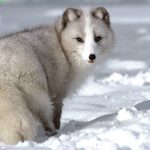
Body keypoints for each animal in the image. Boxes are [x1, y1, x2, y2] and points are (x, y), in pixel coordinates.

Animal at [0, 7, 113, 144]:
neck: (61, 44)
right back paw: (52, 132)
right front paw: (57, 129)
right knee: (44, 116)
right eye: (79, 39)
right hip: (38, 94)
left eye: (98, 38)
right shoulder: (57, 93)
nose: (92, 56)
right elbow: (57, 115)